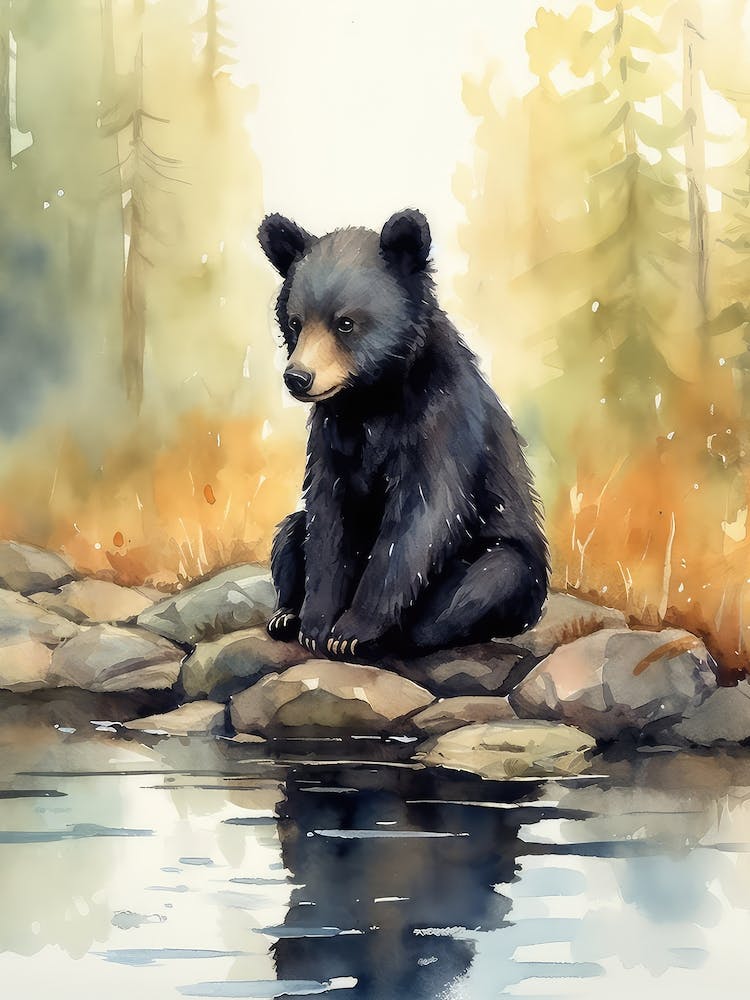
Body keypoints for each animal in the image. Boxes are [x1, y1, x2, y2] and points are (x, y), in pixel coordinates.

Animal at [257, 208, 548, 658]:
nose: (298, 378)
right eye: (295, 322)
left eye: (345, 323)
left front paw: (352, 630)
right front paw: (316, 624)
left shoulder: (441, 421)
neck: (373, 398)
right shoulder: (332, 433)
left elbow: (420, 516)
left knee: (491, 576)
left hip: (513, 565)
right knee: (291, 530)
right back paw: (285, 614)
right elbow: (327, 518)